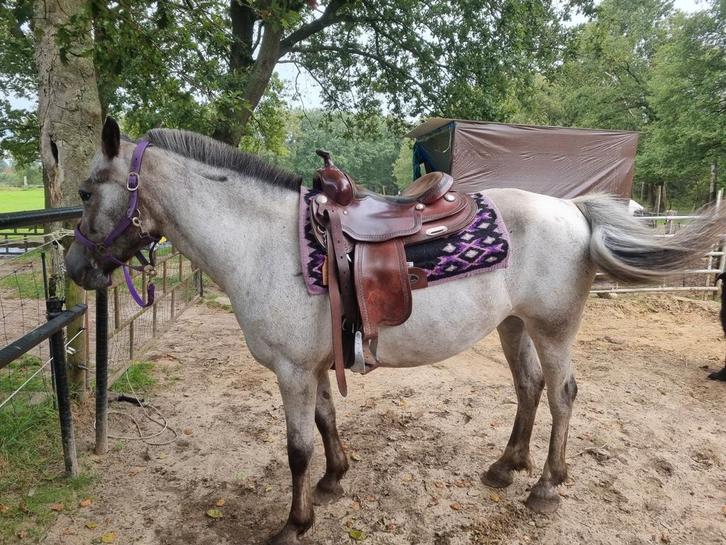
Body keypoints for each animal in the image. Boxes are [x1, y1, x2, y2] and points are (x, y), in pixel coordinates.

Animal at [66, 118, 726, 545]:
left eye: (84, 190)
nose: (74, 269)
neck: (264, 243)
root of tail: (574, 210)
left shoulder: (289, 372)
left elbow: (296, 448)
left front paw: (293, 523)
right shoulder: (312, 366)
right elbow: (327, 422)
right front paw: (334, 480)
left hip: (552, 327)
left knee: (562, 394)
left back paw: (545, 487)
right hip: (513, 326)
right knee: (529, 388)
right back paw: (505, 467)